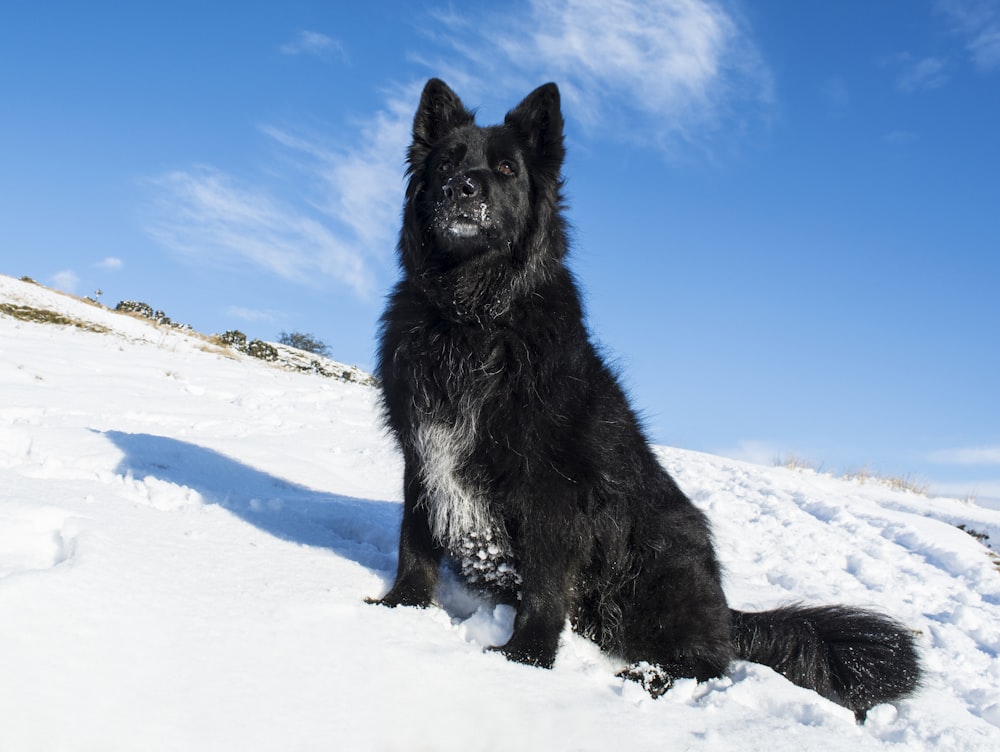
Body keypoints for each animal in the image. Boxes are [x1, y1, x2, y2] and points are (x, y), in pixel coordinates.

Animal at [372, 79, 916, 720]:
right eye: (447, 163)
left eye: (505, 168)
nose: (461, 187)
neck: (471, 316)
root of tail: (725, 608)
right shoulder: (424, 453)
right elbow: (414, 543)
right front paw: (397, 610)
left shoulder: (554, 488)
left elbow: (545, 586)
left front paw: (525, 661)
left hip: (660, 561)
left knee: (709, 659)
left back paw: (645, 678)